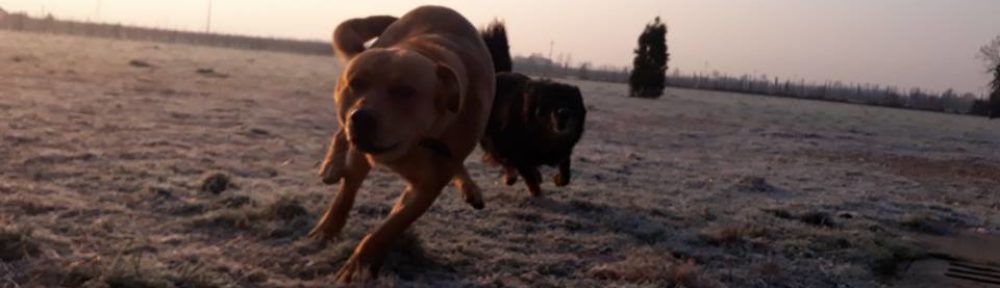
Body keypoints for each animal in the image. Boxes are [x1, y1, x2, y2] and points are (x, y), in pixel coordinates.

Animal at [310, 5, 498, 282]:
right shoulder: (359, 156)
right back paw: (332, 166)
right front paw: (328, 229)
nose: (361, 118)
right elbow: (346, 194)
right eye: (356, 83)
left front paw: (359, 266)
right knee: (340, 134)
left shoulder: (427, 187)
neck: (414, 143)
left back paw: (469, 186)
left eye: (405, 91)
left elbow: (389, 229)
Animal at [478, 23, 584, 197]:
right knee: (504, 160)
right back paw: (512, 177)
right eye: (550, 102)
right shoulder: (515, 149)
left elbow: (565, 172)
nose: (563, 112)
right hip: (491, 137)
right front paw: (536, 192)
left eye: (571, 103)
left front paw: (558, 179)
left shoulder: (563, 148)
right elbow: (528, 176)